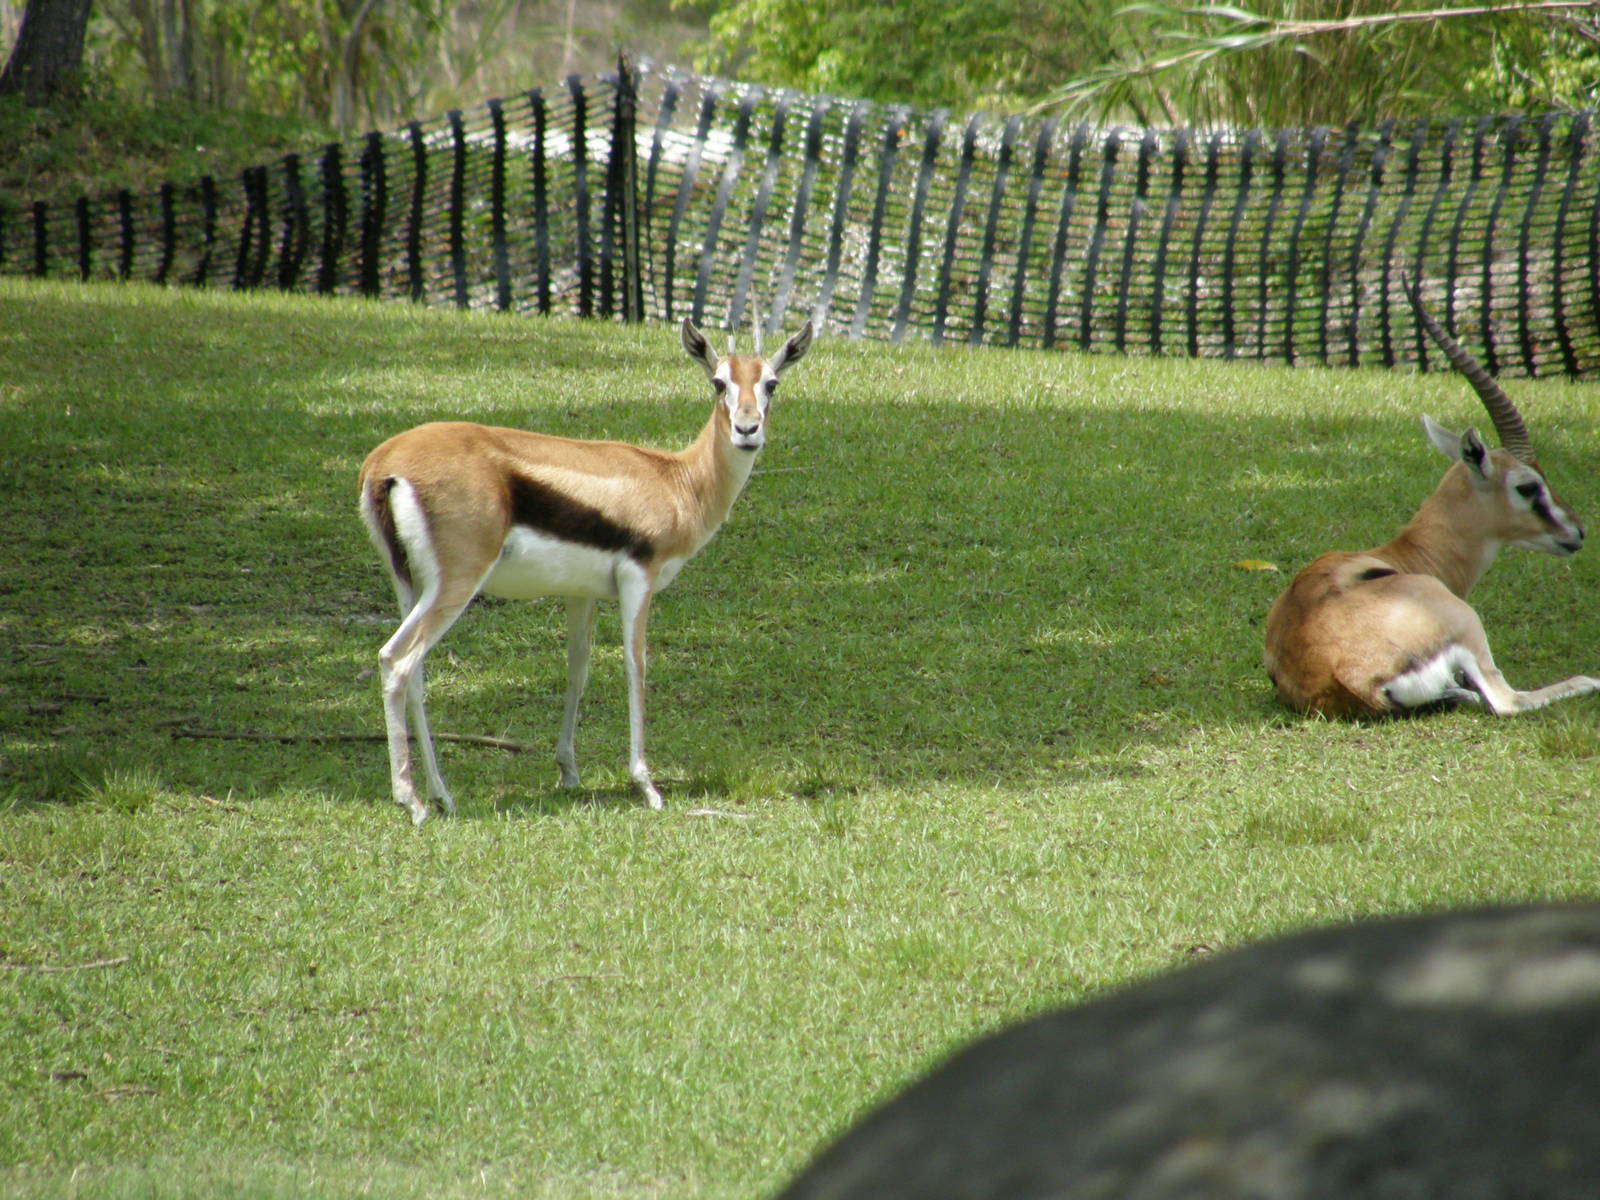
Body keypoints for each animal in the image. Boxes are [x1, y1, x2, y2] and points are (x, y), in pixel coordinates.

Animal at [359, 314, 814, 824]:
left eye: (771, 382)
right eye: (719, 382)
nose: (747, 429)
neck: (679, 481)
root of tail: (383, 464)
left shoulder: (582, 592)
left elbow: (578, 665)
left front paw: (569, 772)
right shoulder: (640, 579)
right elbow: (636, 664)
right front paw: (647, 786)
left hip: (410, 585)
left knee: (413, 671)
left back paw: (442, 795)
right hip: (456, 583)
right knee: (396, 660)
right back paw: (412, 801)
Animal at [1263, 283, 1597, 718]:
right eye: (1528, 486)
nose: (1577, 532)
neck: (1409, 556)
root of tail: (1349, 679)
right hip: (1468, 625)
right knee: (1507, 701)